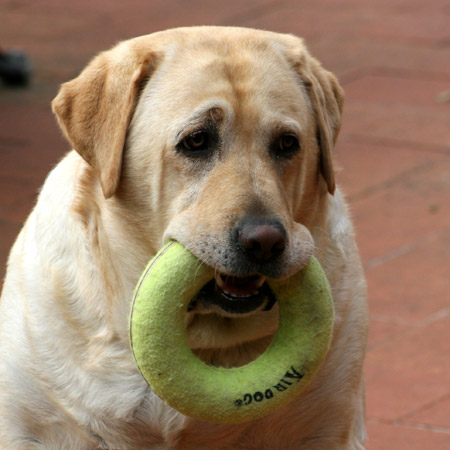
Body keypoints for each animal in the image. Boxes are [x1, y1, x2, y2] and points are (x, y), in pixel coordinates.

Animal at [0, 26, 370, 448]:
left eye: (287, 143)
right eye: (196, 140)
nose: (264, 241)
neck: (203, 340)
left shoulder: (328, 422)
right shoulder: (33, 422)